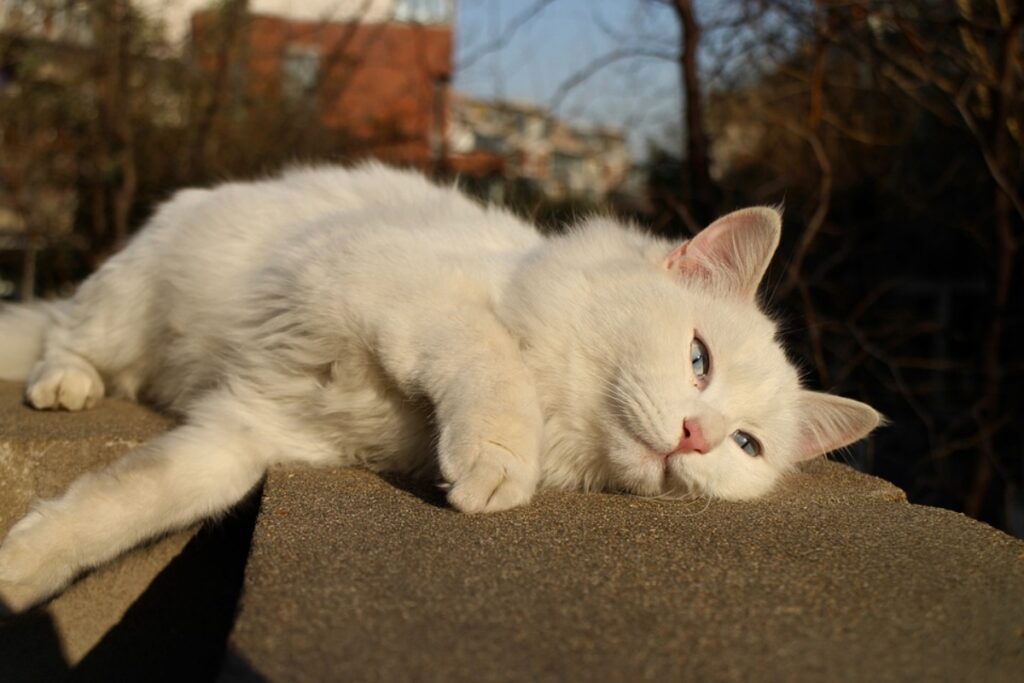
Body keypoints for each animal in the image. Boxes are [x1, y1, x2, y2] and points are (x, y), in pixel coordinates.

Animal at [0, 162, 880, 610]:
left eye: (746, 446)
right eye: (699, 359)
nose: (698, 437)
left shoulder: (242, 437)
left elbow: (120, 502)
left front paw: (21, 570)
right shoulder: (393, 286)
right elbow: (489, 358)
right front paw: (497, 465)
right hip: (125, 306)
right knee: (62, 332)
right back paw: (63, 383)